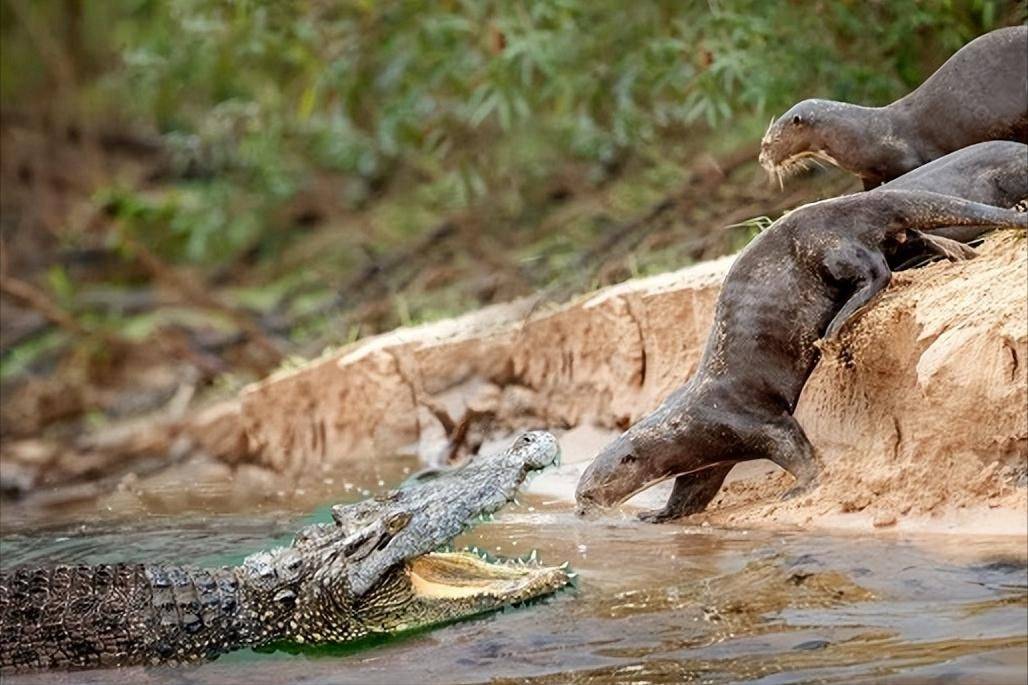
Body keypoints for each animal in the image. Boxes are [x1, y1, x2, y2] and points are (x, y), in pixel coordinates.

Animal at [575, 189, 1023, 520]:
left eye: (589, 491)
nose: (579, 511)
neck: (682, 428)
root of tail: (846, 202)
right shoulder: (708, 457)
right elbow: (692, 491)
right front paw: (659, 515)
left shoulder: (743, 419)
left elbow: (791, 444)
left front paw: (803, 487)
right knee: (909, 239)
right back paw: (958, 253)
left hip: (825, 245)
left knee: (877, 270)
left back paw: (837, 324)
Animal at [756, 25, 1028, 188]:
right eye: (763, 143)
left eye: (770, 142)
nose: (761, 159)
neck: (866, 135)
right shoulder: (868, 176)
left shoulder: (907, 160)